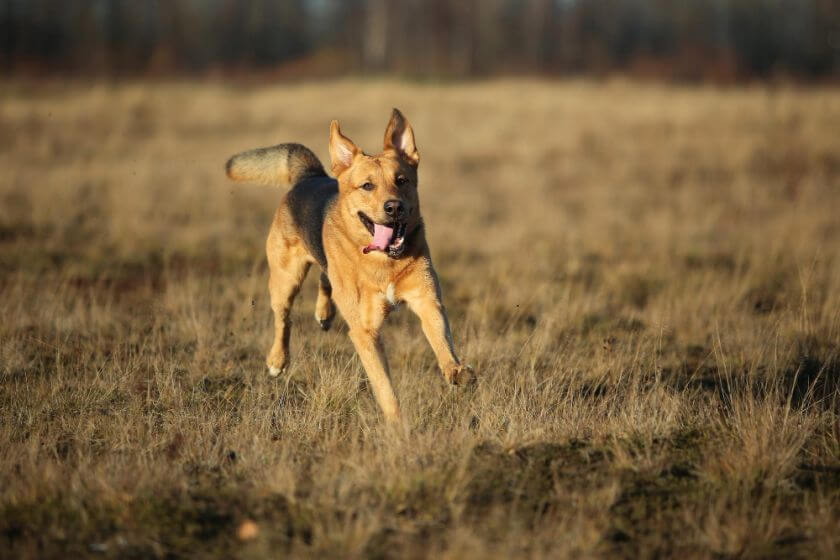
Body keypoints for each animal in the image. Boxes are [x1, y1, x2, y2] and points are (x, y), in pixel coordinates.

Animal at [223, 108, 472, 424]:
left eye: (402, 180)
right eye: (367, 186)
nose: (394, 207)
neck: (383, 261)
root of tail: (310, 175)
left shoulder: (427, 301)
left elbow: (442, 342)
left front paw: (457, 372)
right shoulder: (365, 332)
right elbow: (384, 386)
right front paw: (398, 425)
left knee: (324, 277)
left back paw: (324, 314)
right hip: (285, 278)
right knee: (283, 317)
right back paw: (277, 360)